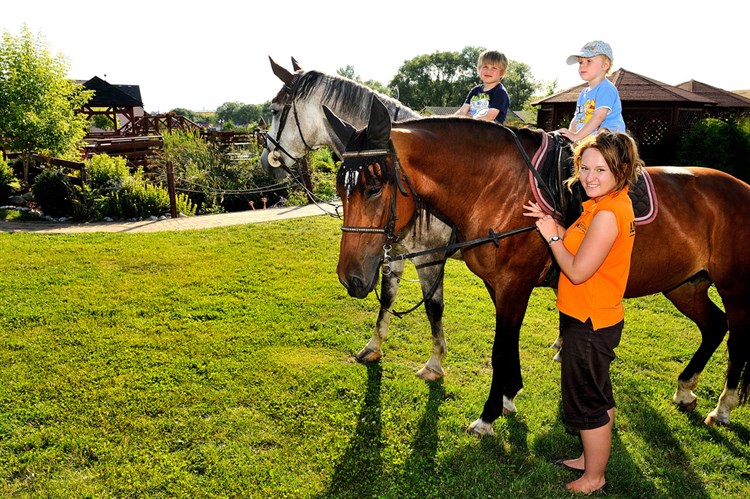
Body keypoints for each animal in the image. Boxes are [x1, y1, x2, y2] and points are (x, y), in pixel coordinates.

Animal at [328, 95, 750, 436]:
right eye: (339, 189)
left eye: (373, 187)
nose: (351, 278)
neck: (498, 186)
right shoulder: (499, 285)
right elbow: (507, 342)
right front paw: (509, 396)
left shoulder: (513, 284)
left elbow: (499, 348)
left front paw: (488, 415)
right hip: (685, 284)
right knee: (715, 325)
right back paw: (685, 388)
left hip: (733, 287)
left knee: (737, 339)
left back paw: (723, 408)